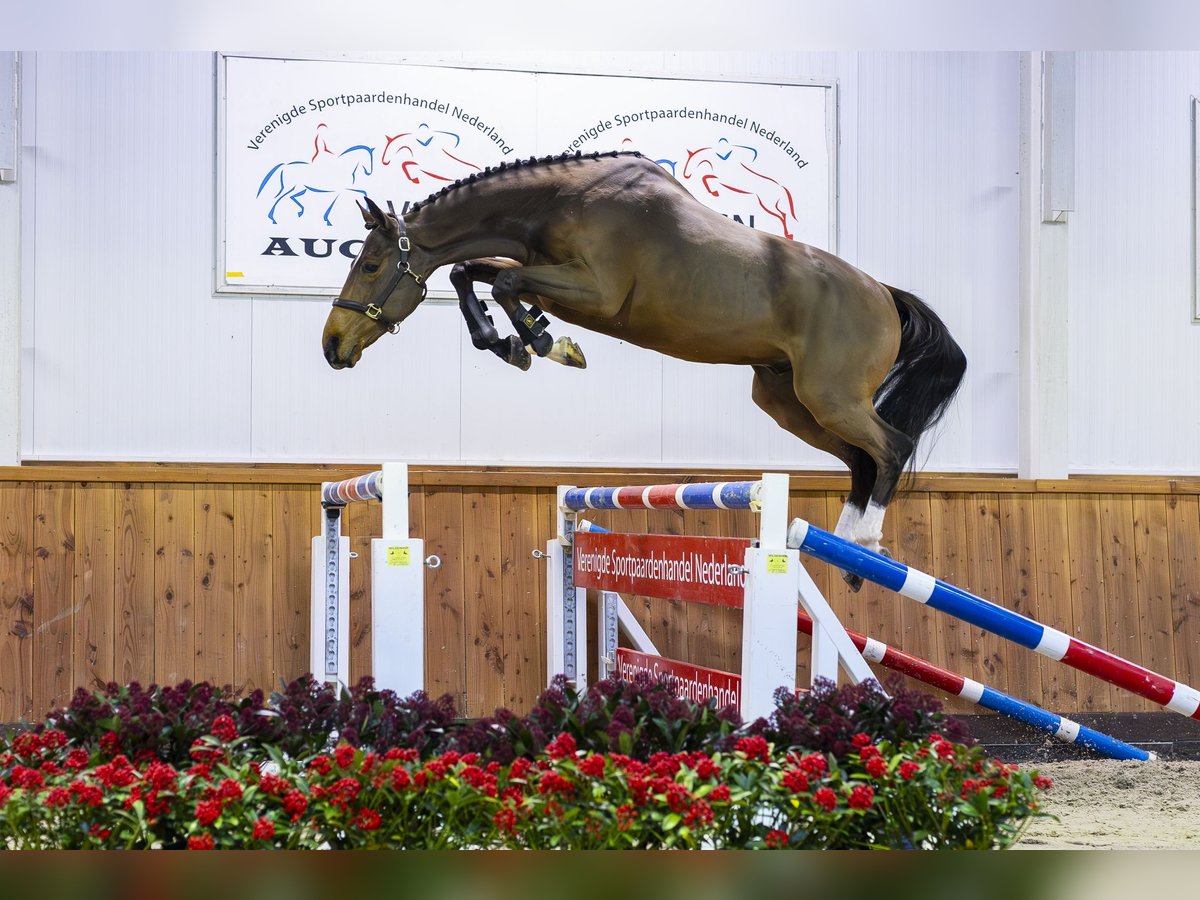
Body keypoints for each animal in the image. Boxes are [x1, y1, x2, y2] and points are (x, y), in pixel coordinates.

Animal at [326, 150, 964, 585]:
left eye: (371, 264)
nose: (333, 346)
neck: (562, 202)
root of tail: (884, 294)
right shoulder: (542, 271)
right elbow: (473, 273)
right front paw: (521, 342)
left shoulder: (595, 292)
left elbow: (503, 283)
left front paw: (542, 342)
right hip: (788, 402)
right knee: (861, 459)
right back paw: (851, 554)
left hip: (829, 396)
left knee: (892, 447)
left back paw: (867, 544)